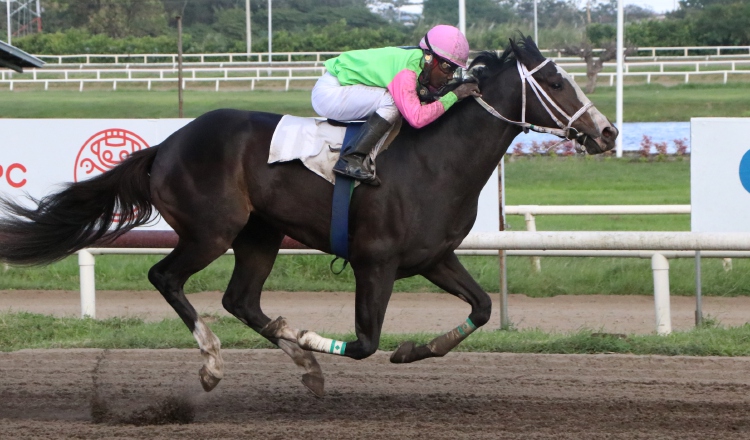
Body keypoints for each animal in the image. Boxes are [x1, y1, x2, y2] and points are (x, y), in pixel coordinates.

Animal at [0, 37, 616, 396]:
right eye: (556, 81)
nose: (607, 132)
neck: (436, 160)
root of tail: (167, 144)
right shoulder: (375, 262)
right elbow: (364, 342)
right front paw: (315, 336)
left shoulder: (433, 257)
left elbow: (483, 308)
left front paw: (415, 350)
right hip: (212, 230)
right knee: (166, 277)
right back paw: (215, 362)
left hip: (261, 234)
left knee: (241, 300)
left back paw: (301, 363)